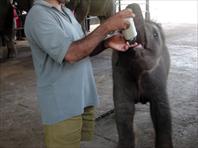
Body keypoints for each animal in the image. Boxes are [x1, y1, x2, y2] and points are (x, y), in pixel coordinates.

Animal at [112, 3, 172, 148]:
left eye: (155, 35)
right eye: (120, 32)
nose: (131, 6)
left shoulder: (157, 75)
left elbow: (161, 110)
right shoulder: (120, 74)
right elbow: (124, 111)